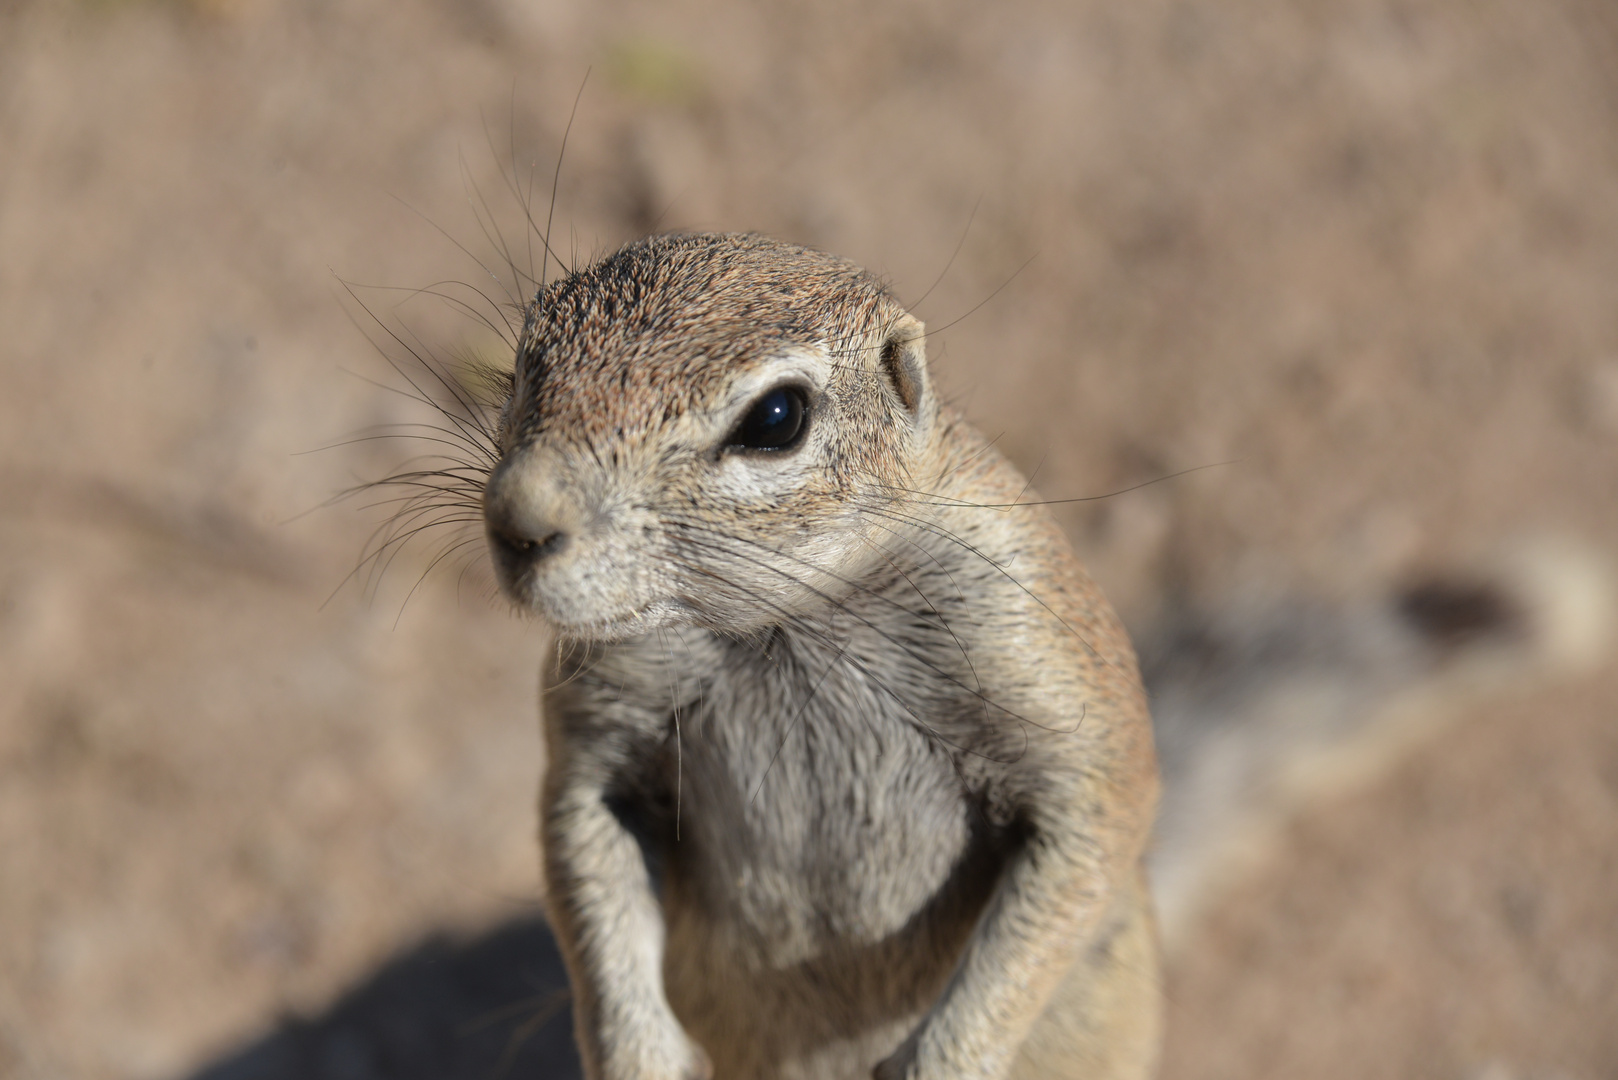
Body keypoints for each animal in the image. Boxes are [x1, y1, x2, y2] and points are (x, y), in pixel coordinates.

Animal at [475, 233, 1164, 1075]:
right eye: (527, 358)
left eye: (776, 417)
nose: (516, 518)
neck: (790, 622)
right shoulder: (601, 718)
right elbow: (583, 844)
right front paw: (640, 1056)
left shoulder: (1032, 635)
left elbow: (1095, 821)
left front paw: (941, 1060)